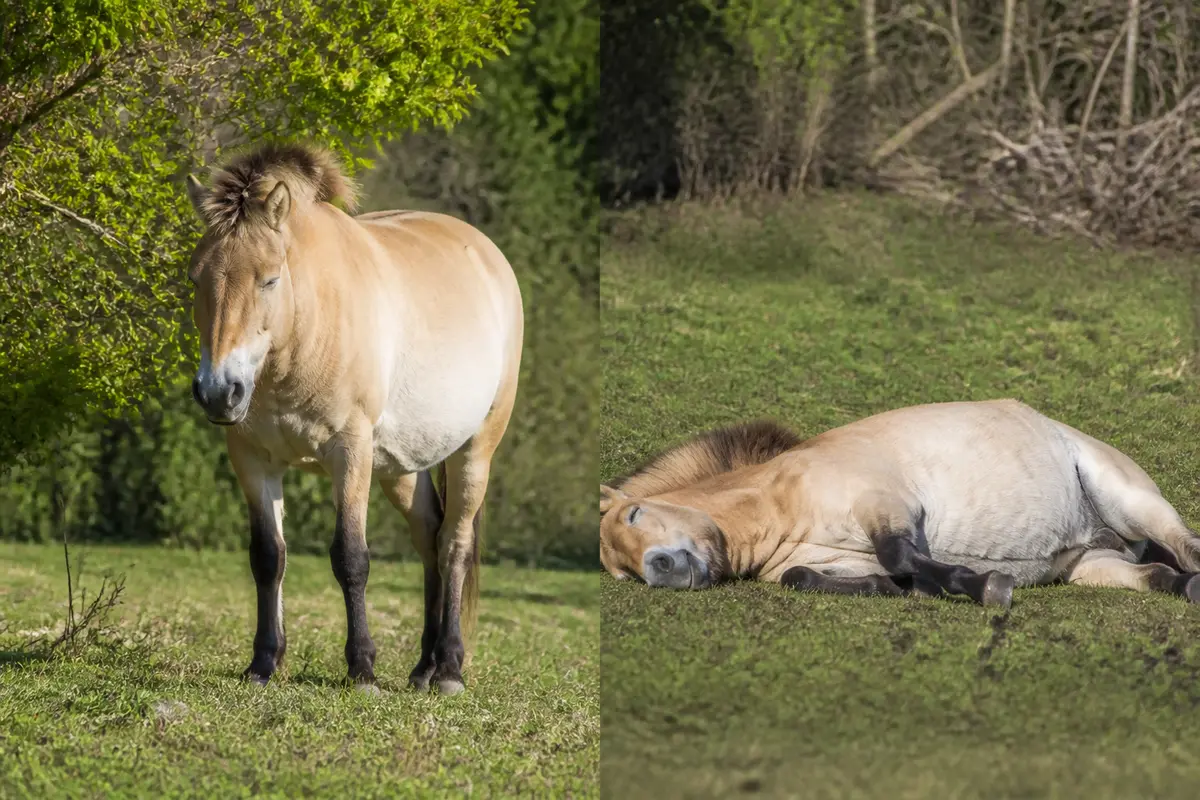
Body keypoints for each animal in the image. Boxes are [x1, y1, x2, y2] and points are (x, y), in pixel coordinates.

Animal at [184, 142, 523, 695]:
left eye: (269, 279)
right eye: (196, 279)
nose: (218, 392)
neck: (305, 331)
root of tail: (487, 255)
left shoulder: (350, 453)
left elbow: (351, 557)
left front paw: (362, 668)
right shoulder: (253, 459)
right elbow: (268, 556)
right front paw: (263, 664)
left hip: (475, 450)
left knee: (454, 542)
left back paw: (450, 667)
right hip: (400, 468)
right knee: (429, 538)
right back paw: (424, 666)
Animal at [600, 399, 1200, 608]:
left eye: (635, 513)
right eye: (623, 573)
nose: (661, 569)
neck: (778, 505)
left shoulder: (885, 506)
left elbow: (900, 554)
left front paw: (985, 586)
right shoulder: (826, 559)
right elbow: (803, 578)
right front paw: (899, 590)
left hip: (1132, 502)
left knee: (1186, 547)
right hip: (1093, 564)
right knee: (1158, 576)